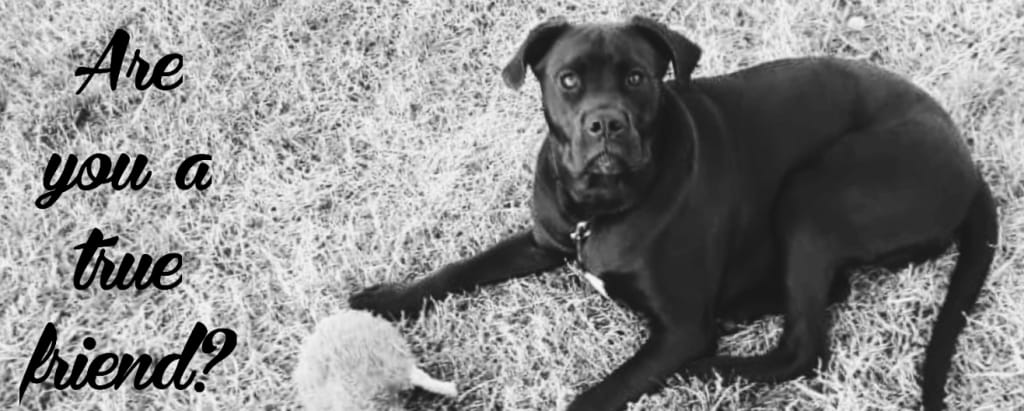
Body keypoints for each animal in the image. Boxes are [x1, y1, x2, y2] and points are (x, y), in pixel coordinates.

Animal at [349, 16, 998, 411]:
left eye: (637, 77)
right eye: (568, 80)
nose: (605, 123)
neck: (600, 207)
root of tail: (969, 165)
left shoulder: (681, 326)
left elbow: (598, 393)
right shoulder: (544, 239)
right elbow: (460, 269)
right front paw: (387, 297)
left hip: (817, 192)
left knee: (804, 348)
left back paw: (703, 370)